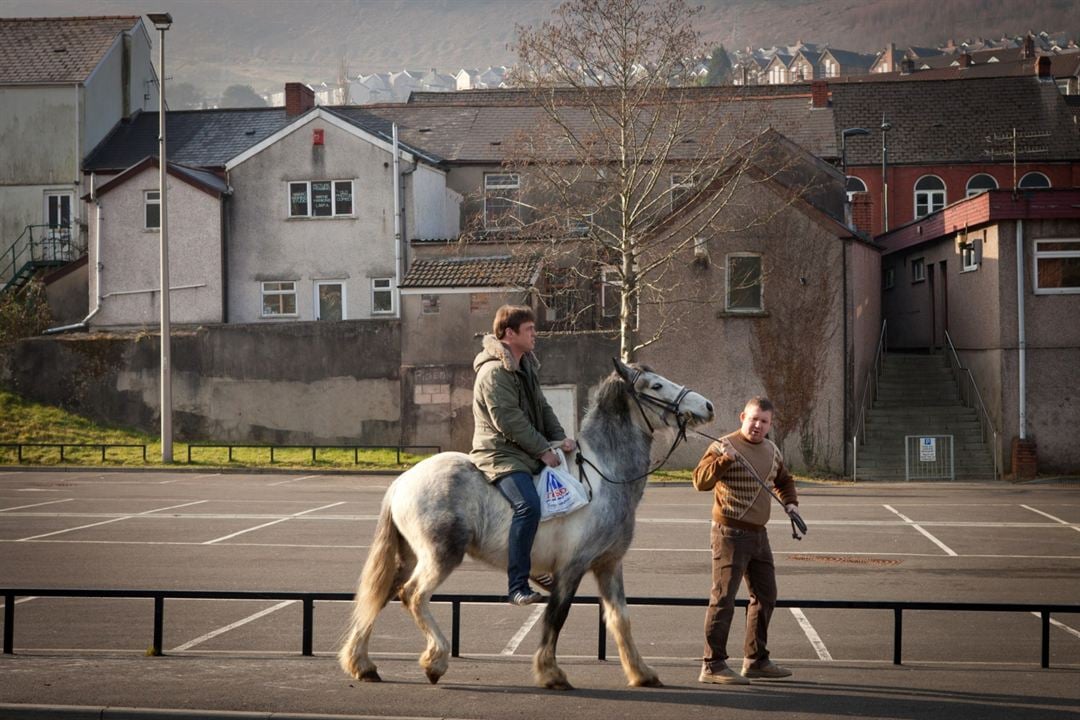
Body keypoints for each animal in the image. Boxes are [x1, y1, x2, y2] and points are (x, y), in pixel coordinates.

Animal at [334, 362, 708, 690]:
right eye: (656, 386)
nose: (706, 405)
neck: (604, 477)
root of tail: (403, 481)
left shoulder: (608, 566)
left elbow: (620, 619)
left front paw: (642, 673)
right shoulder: (571, 568)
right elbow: (556, 617)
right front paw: (551, 674)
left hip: (410, 556)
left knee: (382, 594)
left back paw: (362, 665)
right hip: (440, 556)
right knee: (413, 595)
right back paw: (434, 661)